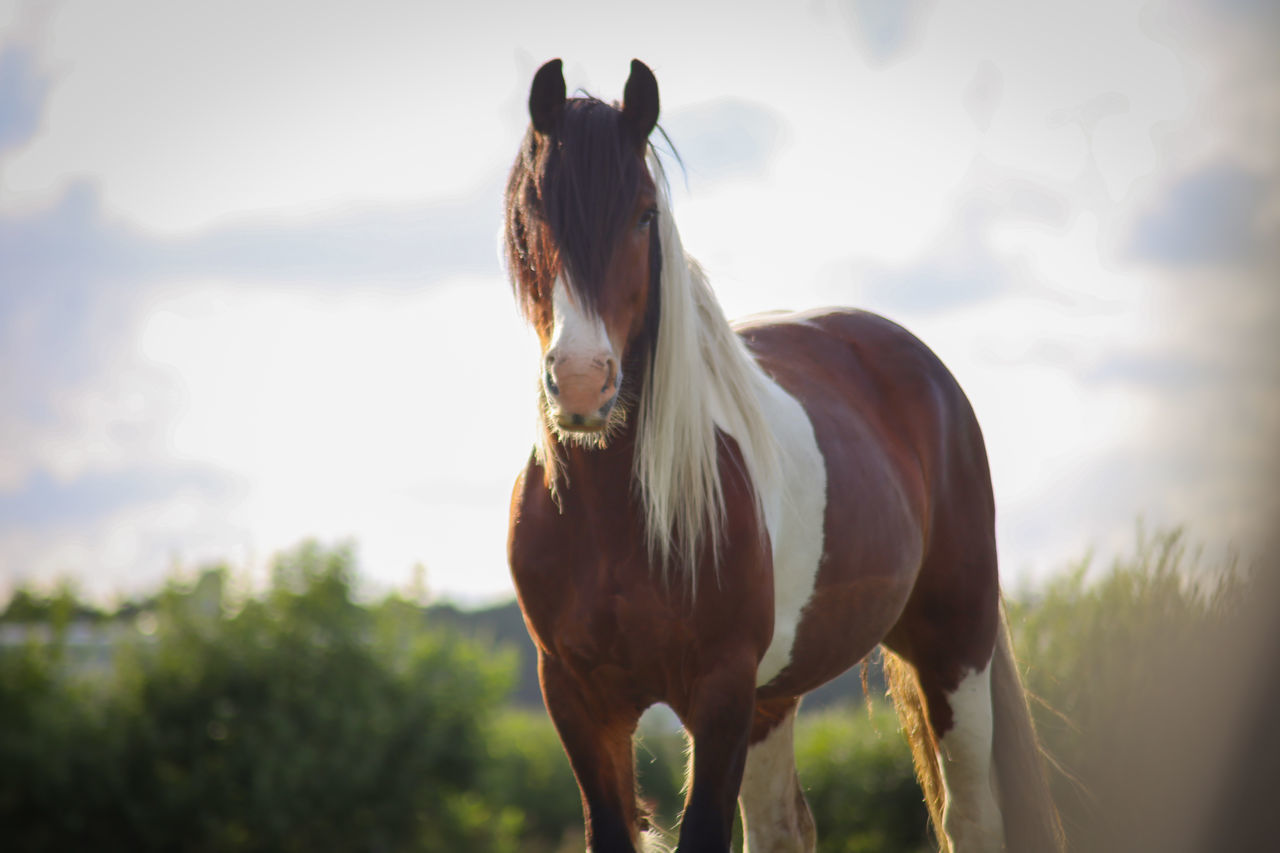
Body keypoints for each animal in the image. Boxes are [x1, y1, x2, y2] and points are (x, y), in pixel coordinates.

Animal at [499, 59, 1059, 850]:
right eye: (531, 212)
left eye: (643, 214)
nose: (582, 380)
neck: (618, 516)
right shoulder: (579, 697)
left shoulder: (721, 690)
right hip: (778, 695)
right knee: (781, 827)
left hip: (957, 645)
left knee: (971, 815)